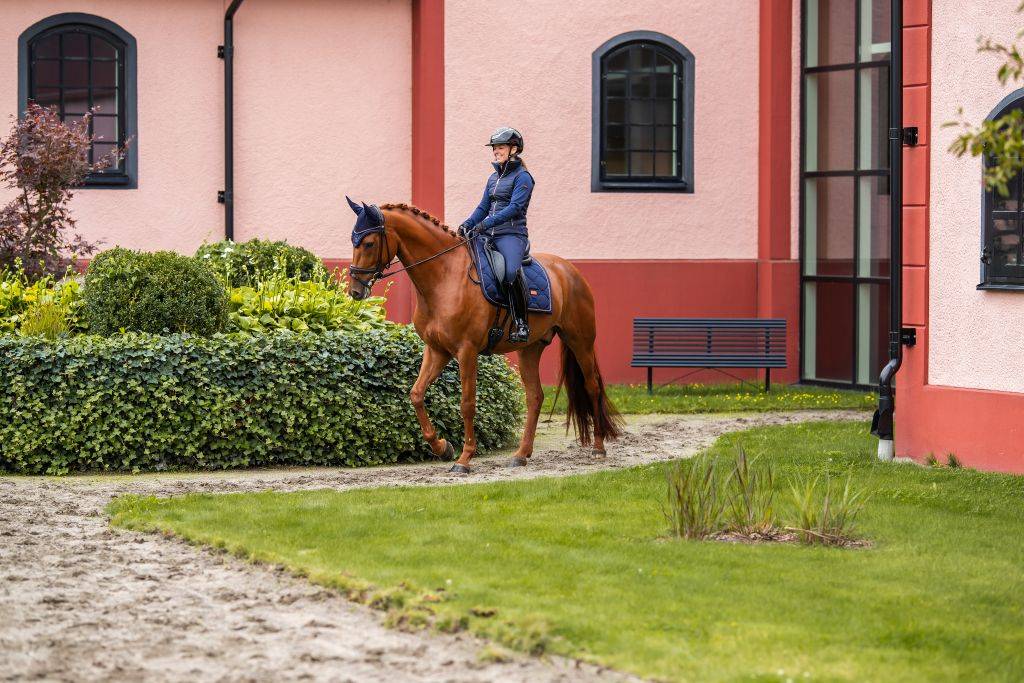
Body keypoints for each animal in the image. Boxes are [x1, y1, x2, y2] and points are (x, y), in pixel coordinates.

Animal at [344, 197, 618, 473]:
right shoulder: (437, 350)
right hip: (530, 348)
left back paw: (598, 448)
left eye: (368, 243)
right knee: (535, 396)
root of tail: (569, 269)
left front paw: (464, 458)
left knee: (592, 386)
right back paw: (521, 454)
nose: (355, 291)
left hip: (580, 341)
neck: (445, 277)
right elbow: (417, 394)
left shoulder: (466, 351)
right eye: (353, 240)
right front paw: (442, 448)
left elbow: (467, 403)